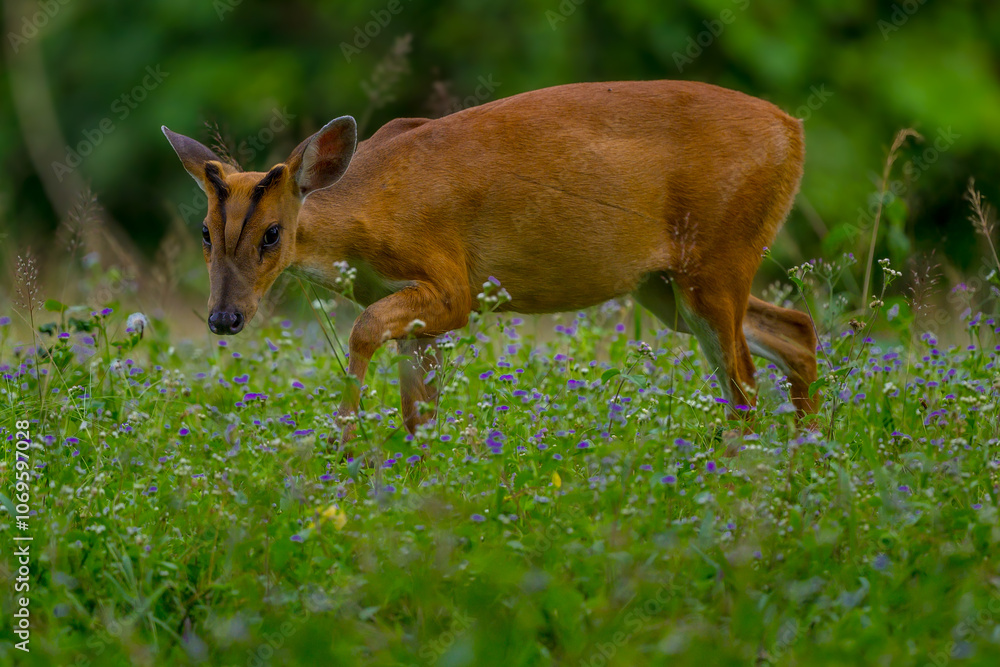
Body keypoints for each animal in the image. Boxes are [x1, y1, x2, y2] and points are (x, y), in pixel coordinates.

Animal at [163, 80, 819, 443]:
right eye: (205, 232)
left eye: (273, 234)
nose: (223, 319)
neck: (371, 207)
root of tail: (794, 130)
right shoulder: (422, 319)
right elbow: (419, 415)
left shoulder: (455, 286)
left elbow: (365, 328)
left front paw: (342, 442)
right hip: (667, 287)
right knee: (797, 330)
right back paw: (806, 457)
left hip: (718, 257)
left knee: (745, 385)